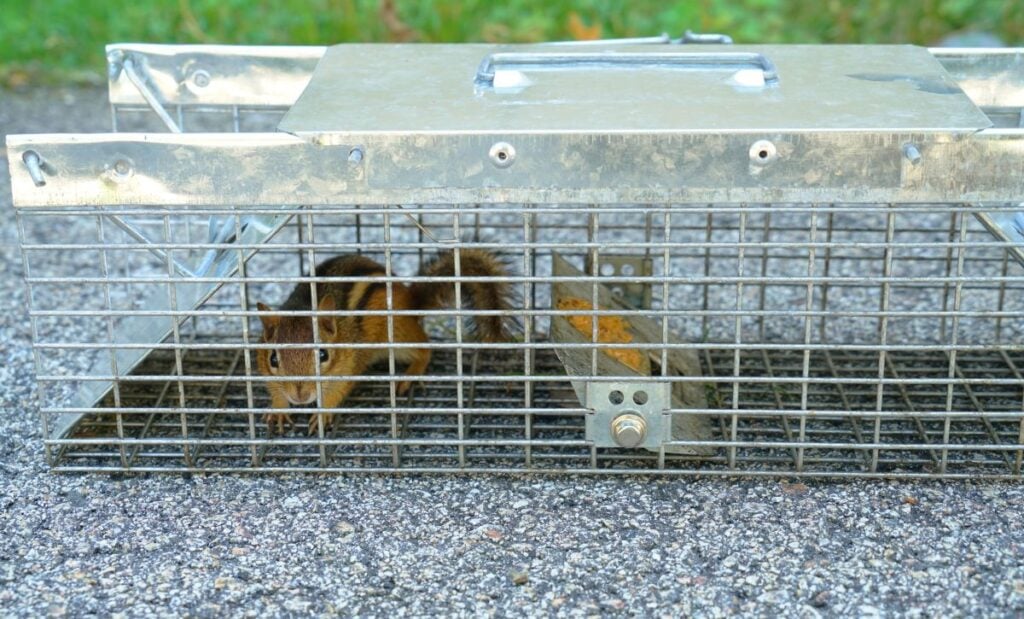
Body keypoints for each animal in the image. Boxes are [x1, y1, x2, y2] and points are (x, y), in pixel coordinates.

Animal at [255, 249, 515, 434]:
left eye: (323, 355)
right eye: (274, 359)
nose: (299, 397)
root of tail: (411, 300)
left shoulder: (348, 365)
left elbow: (338, 390)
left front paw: (322, 413)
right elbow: (274, 387)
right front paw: (279, 408)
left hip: (398, 335)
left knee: (425, 347)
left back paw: (410, 375)